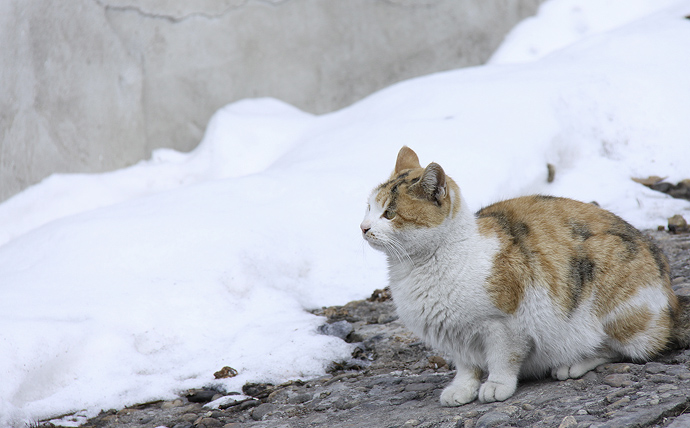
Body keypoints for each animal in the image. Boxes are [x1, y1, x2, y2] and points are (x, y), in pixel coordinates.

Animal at [360, 146, 688, 404]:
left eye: (389, 213)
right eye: (368, 208)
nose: (363, 227)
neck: (420, 266)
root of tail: (672, 301)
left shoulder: (505, 325)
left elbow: (502, 358)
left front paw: (496, 384)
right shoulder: (455, 336)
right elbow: (466, 366)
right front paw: (462, 389)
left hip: (618, 305)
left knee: (624, 349)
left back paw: (574, 363)